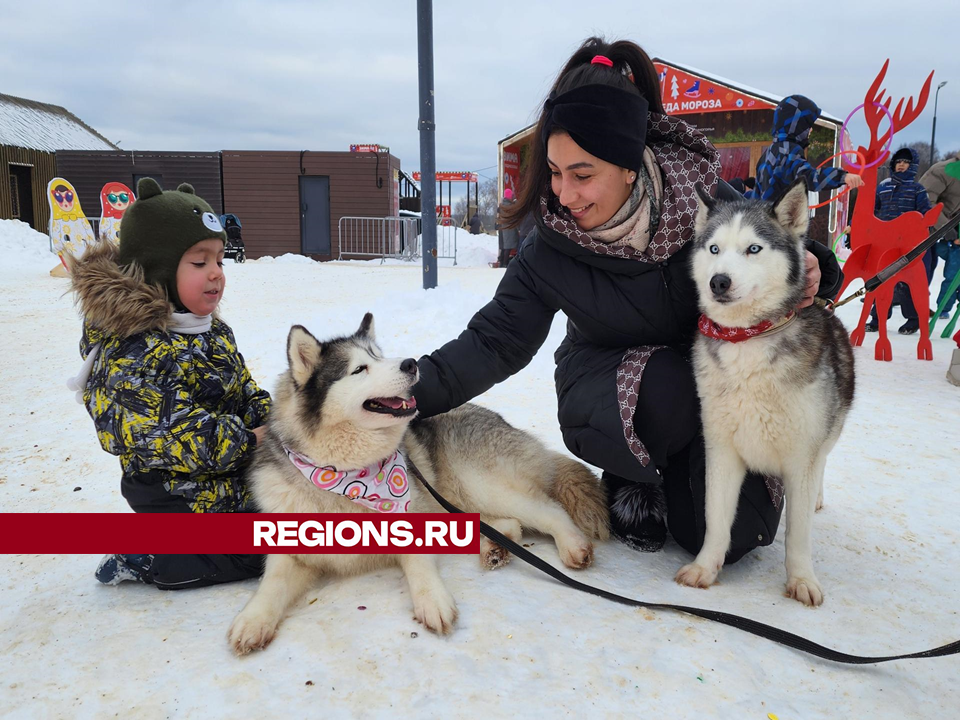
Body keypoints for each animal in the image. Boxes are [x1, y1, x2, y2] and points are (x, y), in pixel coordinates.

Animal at [227, 316, 608, 652]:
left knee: (550, 509)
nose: (410, 364)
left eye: (379, 356)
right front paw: (252, 620)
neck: (345, 475)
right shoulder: (289, 545)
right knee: (507, 524)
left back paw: (572, 545)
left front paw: (432, 601)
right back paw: (495, 548)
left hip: (479, 484)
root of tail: (501, 420)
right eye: (359, 369)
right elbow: (271, 584)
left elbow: (419, 565)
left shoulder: (410, 513)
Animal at [676, 183, 856, 604]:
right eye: (714, 249)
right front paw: (705, 568)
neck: (747, 338)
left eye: (753, 249)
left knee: (823, 463)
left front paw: (802, 579)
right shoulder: (721, 450)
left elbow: (798, 533)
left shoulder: (802, 458)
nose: (719, 281)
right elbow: (716, 518)